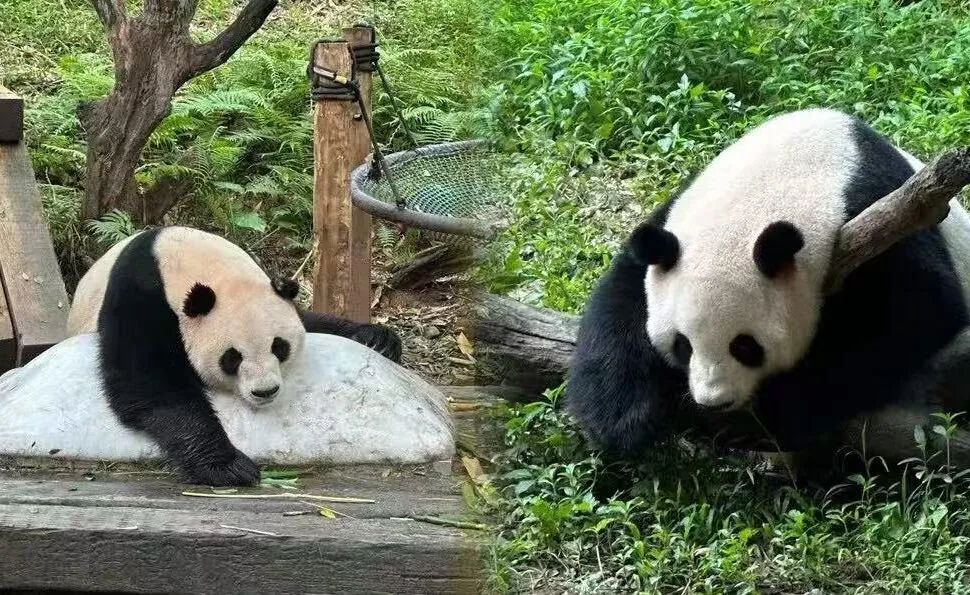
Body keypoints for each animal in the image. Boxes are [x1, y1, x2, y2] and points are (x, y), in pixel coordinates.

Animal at [67, 226, 403, 486]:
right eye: (232, 357)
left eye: (279, 347)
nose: (265, 391)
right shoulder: (140, 295)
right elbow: (148, 383)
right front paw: (226, 465)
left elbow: (308, 318)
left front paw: (377, 338)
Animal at [566, 108, 970, 466]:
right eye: (682, 345)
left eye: (745, 346)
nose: (715, 401)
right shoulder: (670, 222)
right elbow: (623, 294)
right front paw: (621, 418)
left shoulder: (881, 216)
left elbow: (921, 309)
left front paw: (785, 407)